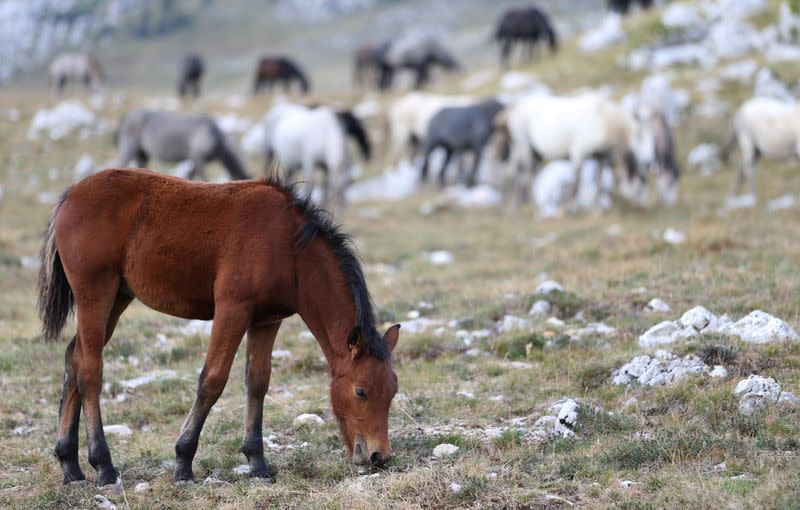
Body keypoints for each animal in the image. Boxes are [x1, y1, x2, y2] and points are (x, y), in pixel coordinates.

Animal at [37, 168, 400, 486]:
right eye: (361, 391)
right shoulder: (232, 310)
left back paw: (70, 465)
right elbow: (212, 380)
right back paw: (104, 465)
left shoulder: (267, 320)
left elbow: (258, 382)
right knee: (90, 370)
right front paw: (183, 462)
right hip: (96, 293)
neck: (288, 248)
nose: (379, 456)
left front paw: (258, 463)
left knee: (74, 358)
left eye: (393, 390)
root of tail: (71, 195)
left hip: (118, 297)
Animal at [112, 109, 250, 181]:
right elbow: (203, 177)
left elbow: (190, 175)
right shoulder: (197, 157)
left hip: (142, 154)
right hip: (129, 148)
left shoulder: (194, 160)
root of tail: (125, 117)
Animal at [500, 93, 656, 207]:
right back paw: (530, 204)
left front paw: (596, 207)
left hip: (532, 151)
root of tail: (514, 108)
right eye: (638, 134)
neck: (606, 122)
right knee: (524, 174)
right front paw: (568, 207)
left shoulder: (601, 157)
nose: (649, 162)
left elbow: (598, 183)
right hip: (523, 143)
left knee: (513, 171)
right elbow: (577, 182)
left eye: (652, 137)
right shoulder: (578, 152)